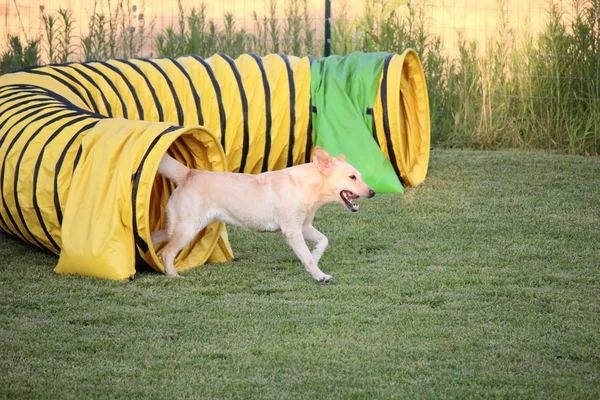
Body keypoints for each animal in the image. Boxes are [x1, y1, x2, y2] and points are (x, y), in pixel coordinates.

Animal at [151, 147, 376, 282]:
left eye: (360, 176)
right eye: (352, 177)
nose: (373, 192)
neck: (304, 187)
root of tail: (190, 173)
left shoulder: (304, 226)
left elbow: (323, 241)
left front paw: (315, 255)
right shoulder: (292, 231)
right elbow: (307, 257)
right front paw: (319, 276)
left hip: (177, 227)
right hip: (187, 229)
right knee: (166, 253)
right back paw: (174, 276)